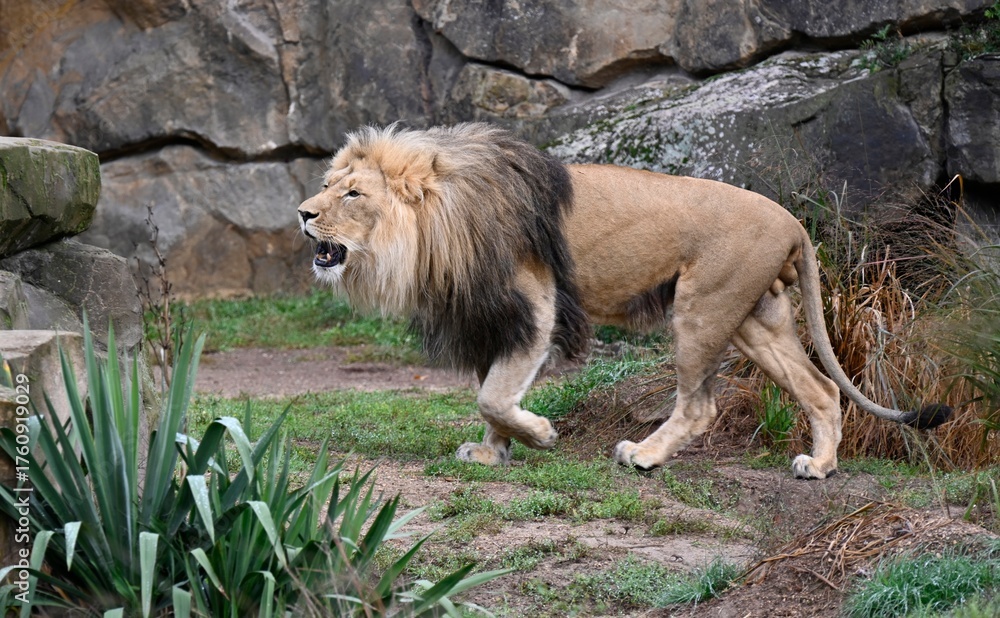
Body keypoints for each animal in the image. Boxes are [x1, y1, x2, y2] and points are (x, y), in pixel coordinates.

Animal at [297, 123, 950, 479]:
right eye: (327, 185)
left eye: (352, 194)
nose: (303, 214)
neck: (434, 227)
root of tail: (792, 220)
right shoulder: (490, 319)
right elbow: (490, 395)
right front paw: (491, 454)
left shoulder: (536, 307)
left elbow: (495, 395)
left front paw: (540, 435)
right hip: (754, 320)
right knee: (819, 390)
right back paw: (820, 466)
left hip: (701, 308)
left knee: (700, 406)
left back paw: (644, 455)